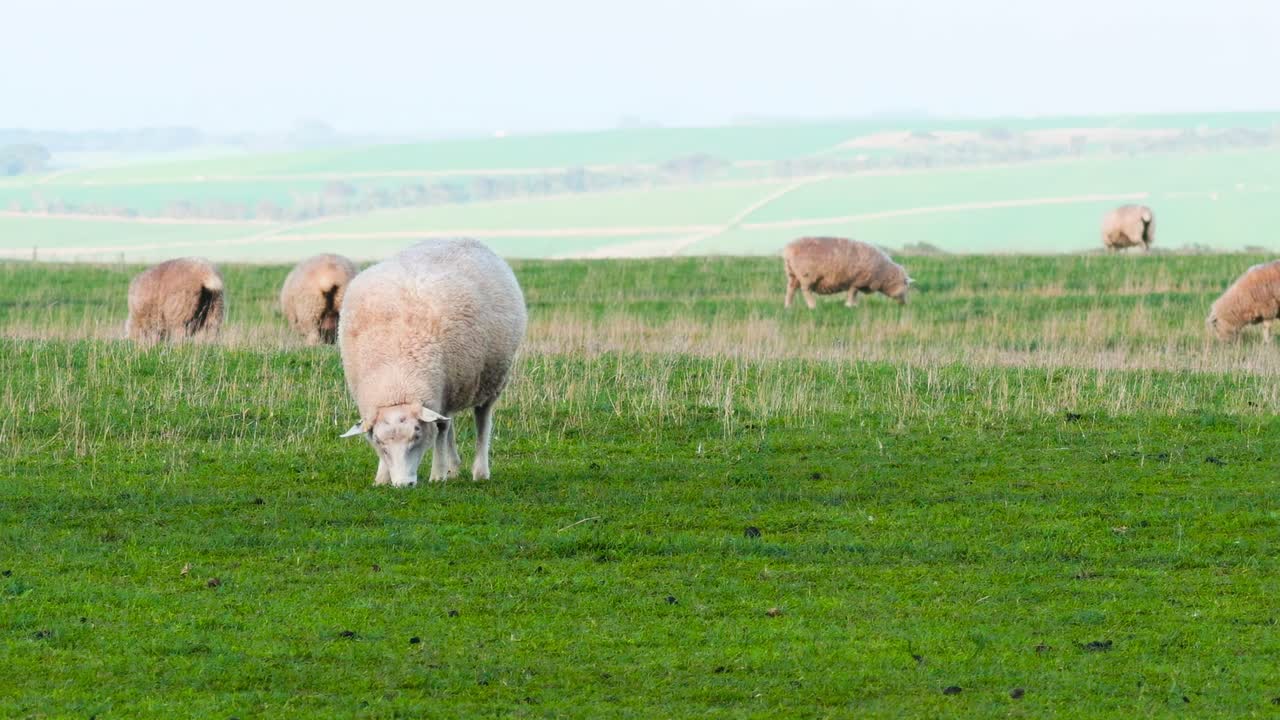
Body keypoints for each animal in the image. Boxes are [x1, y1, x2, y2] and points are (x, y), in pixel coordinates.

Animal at [338, 238, 527, 487]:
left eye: (417, 434)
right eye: (380, 443)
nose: (403, 485)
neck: (397, 377)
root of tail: (464, 239)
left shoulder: (441, 389)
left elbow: (440, 429)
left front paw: (437, 474)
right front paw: (382, 477)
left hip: (489, 379)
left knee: (481, 421)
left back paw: (479, 471)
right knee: (450, 423)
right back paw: (454, 467)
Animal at [782, 236, 912, 309]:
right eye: (906, 285)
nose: (905, 304)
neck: (883, 273)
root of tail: (789, 249)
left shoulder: (856, 281)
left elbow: (854, 294)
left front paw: (854, 305)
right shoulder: (857, 280)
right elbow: (852, 293)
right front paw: (850, 306)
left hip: (792, 274)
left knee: (790, 290)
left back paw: (788, 306)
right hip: (807, 275)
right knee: (806, 290)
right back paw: (812, 306)